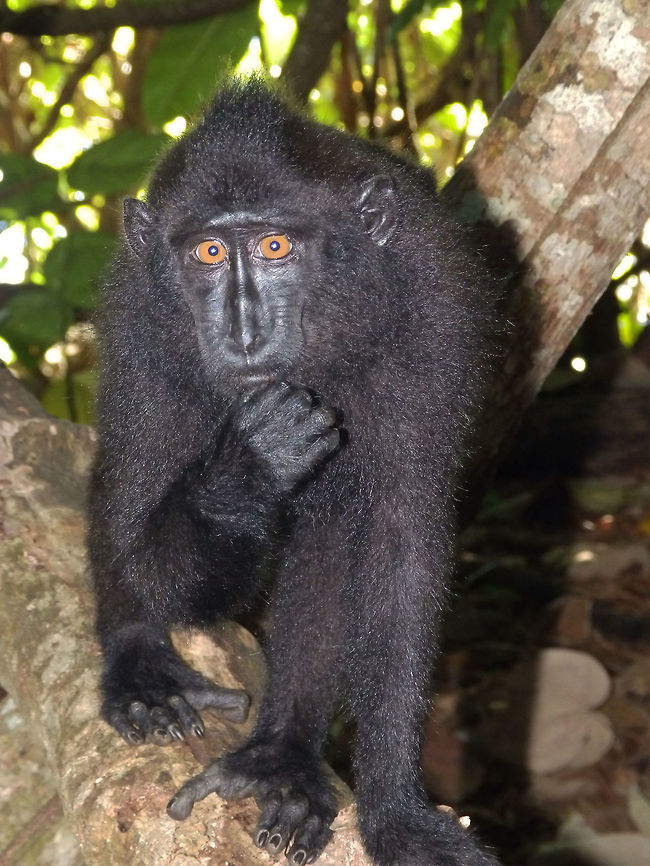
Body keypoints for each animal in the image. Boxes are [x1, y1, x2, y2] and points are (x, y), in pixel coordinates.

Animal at [88, 76, 502, 866]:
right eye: (209, 251)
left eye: (276, 246)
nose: (244, 332)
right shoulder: (141, 325)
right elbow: (142, 541)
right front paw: (248, 469)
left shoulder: (433, 320)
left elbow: (401, 547)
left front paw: (394, 811)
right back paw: (143, 667)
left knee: (333, 530)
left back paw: (282, 753)